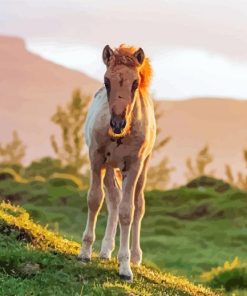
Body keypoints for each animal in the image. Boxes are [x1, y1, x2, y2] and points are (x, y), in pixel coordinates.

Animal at [79, 44, 156, 280]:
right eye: (106, 81)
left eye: (135, 83)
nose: (117, 123)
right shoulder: (97, 158)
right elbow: (95, 200)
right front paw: (85, 253)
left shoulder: (133, 165)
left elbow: (127, 211)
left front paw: (125, 268)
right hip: (110, 167)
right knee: (112, 199)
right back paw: (105, 250)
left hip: (142, 169)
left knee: (138, 205)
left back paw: (136, 257)